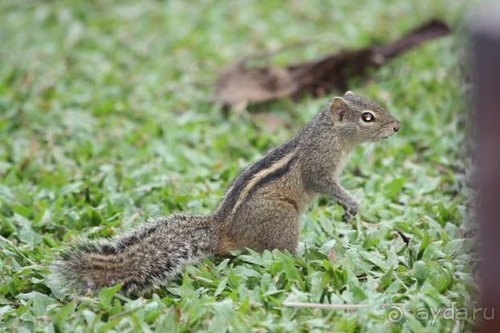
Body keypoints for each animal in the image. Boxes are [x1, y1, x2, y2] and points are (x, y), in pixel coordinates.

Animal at [52, 91, 400, 294]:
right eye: (367, 117)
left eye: (377, 106)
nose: (397, 127)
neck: (331, 132)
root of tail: (221, 230)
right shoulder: (320, 165)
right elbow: (324, 184)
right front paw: (352, 202)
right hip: (284, 217)